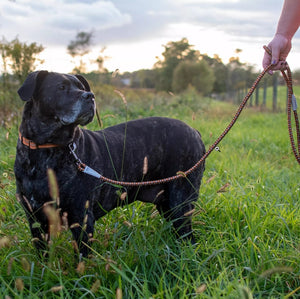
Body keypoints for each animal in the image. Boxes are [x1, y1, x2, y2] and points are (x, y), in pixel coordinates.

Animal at [14, 71, 206, 258]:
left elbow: (82, 258)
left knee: (189, 238)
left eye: (82, 87)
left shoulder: (81, 217)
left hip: (181, 202)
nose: (90, 96)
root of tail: (195, 132)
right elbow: (42, 255)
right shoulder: (35, 218)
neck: (46, 149)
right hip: (167, 206)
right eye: (61, 87)